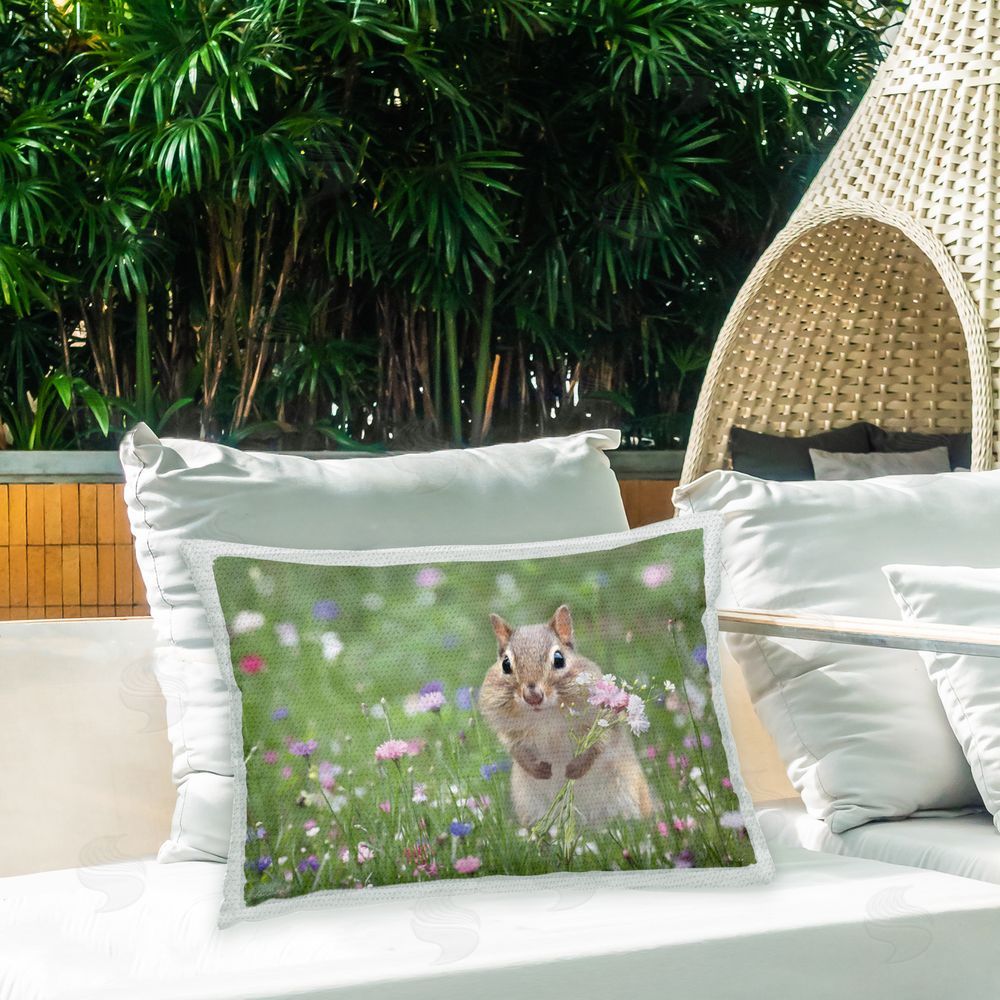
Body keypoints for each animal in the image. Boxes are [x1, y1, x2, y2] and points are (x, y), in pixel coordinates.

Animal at [478, 604, 653, 828]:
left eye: (559, 659)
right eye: (505, 664)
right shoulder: (508, 729)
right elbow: (514, 748)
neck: (544, 717)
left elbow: (599, 744)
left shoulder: (603, 719)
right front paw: (538, 770)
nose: (533, 697)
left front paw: (574, 769)